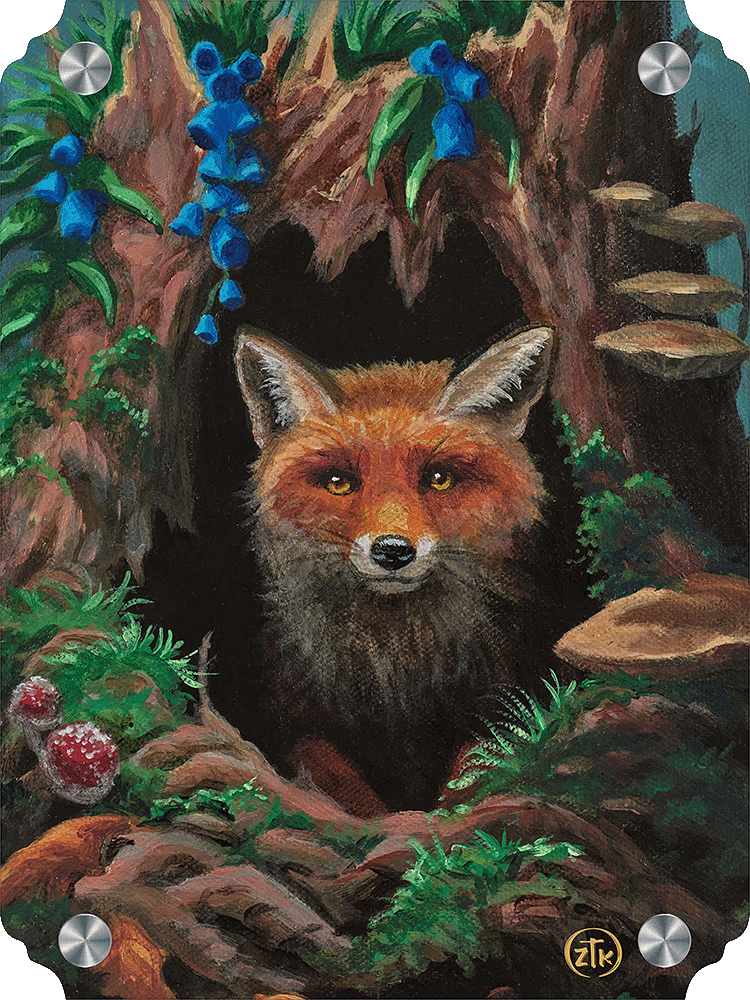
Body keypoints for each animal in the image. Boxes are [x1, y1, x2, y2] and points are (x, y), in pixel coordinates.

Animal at [234, 325, 554, 815]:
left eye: (439, 478)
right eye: (339, 482)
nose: (392, 551)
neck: (398, 662)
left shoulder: (497, 706)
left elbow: (467, 779)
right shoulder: (300, 724)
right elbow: (348, 792)